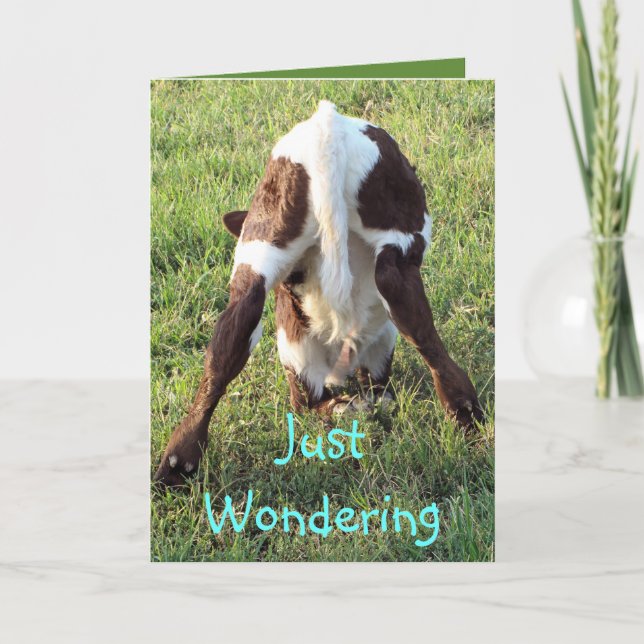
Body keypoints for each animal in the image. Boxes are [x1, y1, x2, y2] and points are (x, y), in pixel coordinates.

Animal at [154, 100, 483, 486]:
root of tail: (328, 121)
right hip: (393, 234)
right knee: (409, 315)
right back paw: (463, 416)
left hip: (264, 238)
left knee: (235, 344)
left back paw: (176, 464)